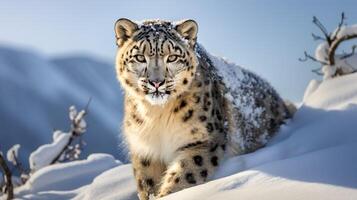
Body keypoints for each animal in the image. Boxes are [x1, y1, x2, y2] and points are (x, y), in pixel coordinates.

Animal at [113, 18, 292, 199]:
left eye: (172, 57)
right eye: (140, 57)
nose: (156, 82)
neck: (157, 114)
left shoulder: (204, 140)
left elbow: (185, 175)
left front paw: (167, 194)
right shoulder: (146, 149)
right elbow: (147, 183)